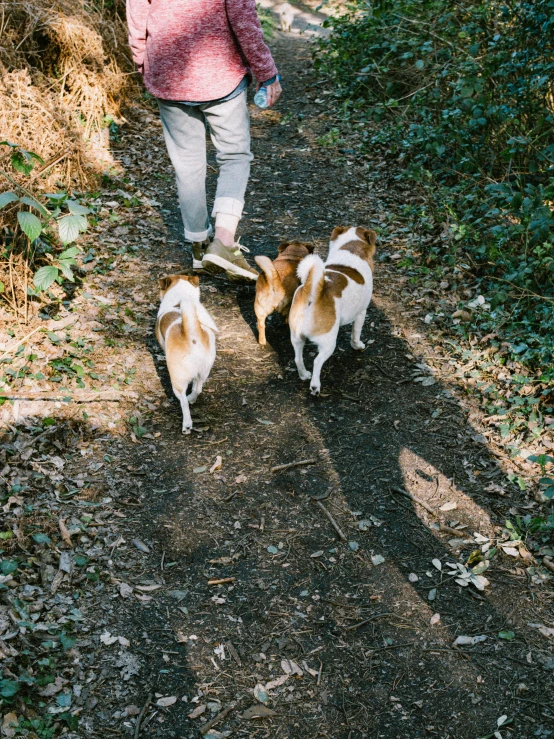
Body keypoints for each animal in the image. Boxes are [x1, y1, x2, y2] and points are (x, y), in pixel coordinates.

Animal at [155, 274, 218, 434]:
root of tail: (192, 333)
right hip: (203, 371)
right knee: (198, 388)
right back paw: (192, 398)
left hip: (177, 380)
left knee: (183, 402)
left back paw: (187, 424)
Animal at [286, 225, 374, 396]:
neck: (350, 249)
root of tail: (312, 291)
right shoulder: (361, 313)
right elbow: (356, 333)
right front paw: (357, 345)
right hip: (328, 342)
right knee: (317, 361)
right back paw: (315, 386)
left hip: (296, 337)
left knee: (298, 358)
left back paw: (304, 375)